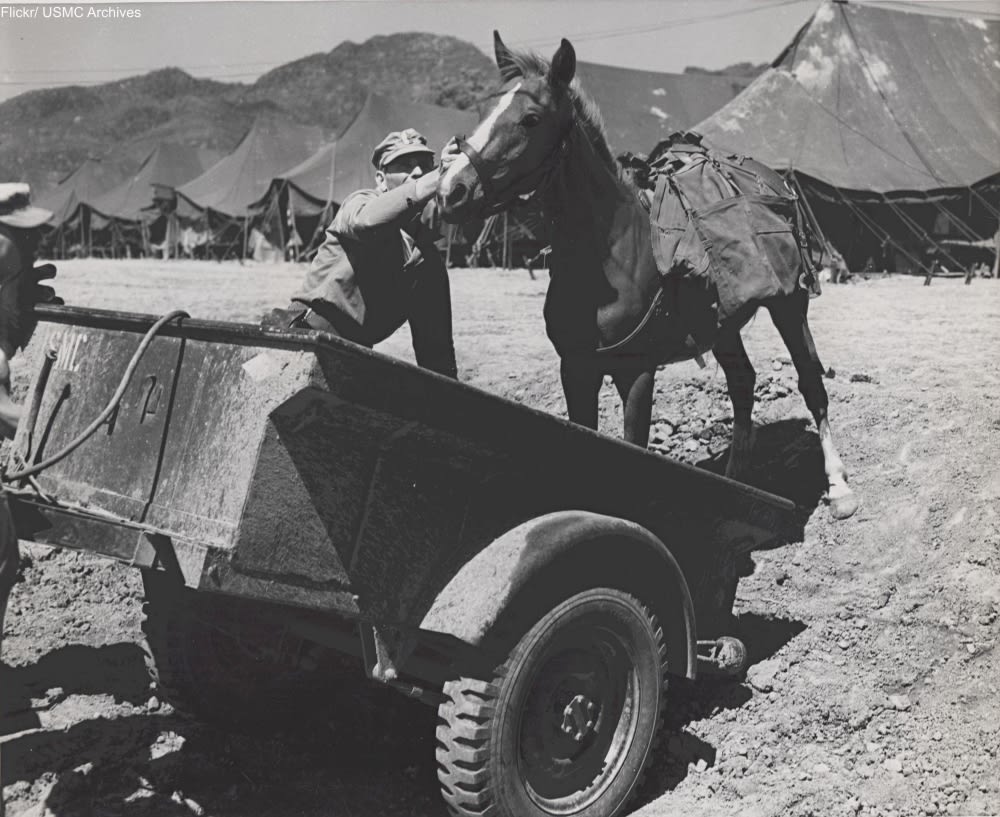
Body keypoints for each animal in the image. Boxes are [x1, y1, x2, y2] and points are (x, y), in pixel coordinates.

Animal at [437, 32, 859, 520]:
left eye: (530, 118)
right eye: (481, 112)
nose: (451, 192)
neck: (607, 257)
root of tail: (772, 179)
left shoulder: (635, 373)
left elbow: (633, 448)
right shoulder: (575, 369)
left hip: (789, 306)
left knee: (811, 383)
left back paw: (838, 486)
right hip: (722, 322)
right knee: (743, 383)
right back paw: (736, 478)